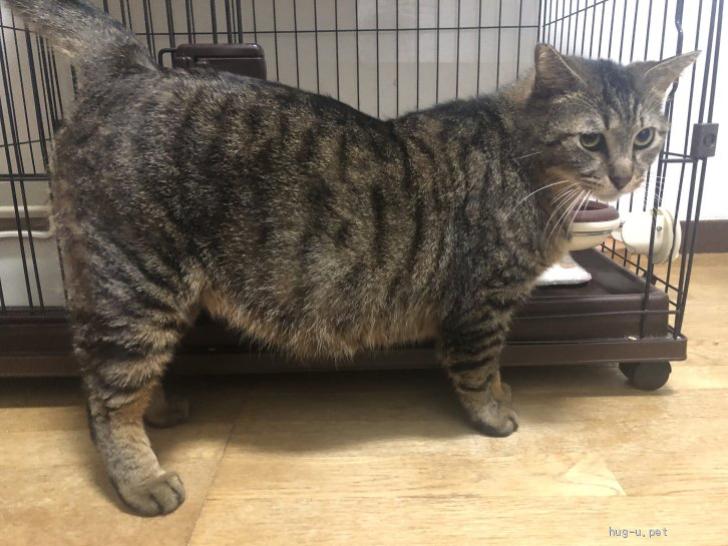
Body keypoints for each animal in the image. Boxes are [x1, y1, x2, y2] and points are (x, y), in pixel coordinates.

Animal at [5, 0, 697, 517]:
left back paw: (163, 408)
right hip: (135, 284)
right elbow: (478, 370)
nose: (627, 175)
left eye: (646, 136)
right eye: (591, 139)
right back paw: (140, 477)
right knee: (105, 399)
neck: (527, 167)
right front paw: (494, 413)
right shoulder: (483, 305)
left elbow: (496, 366)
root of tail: (134, 68)